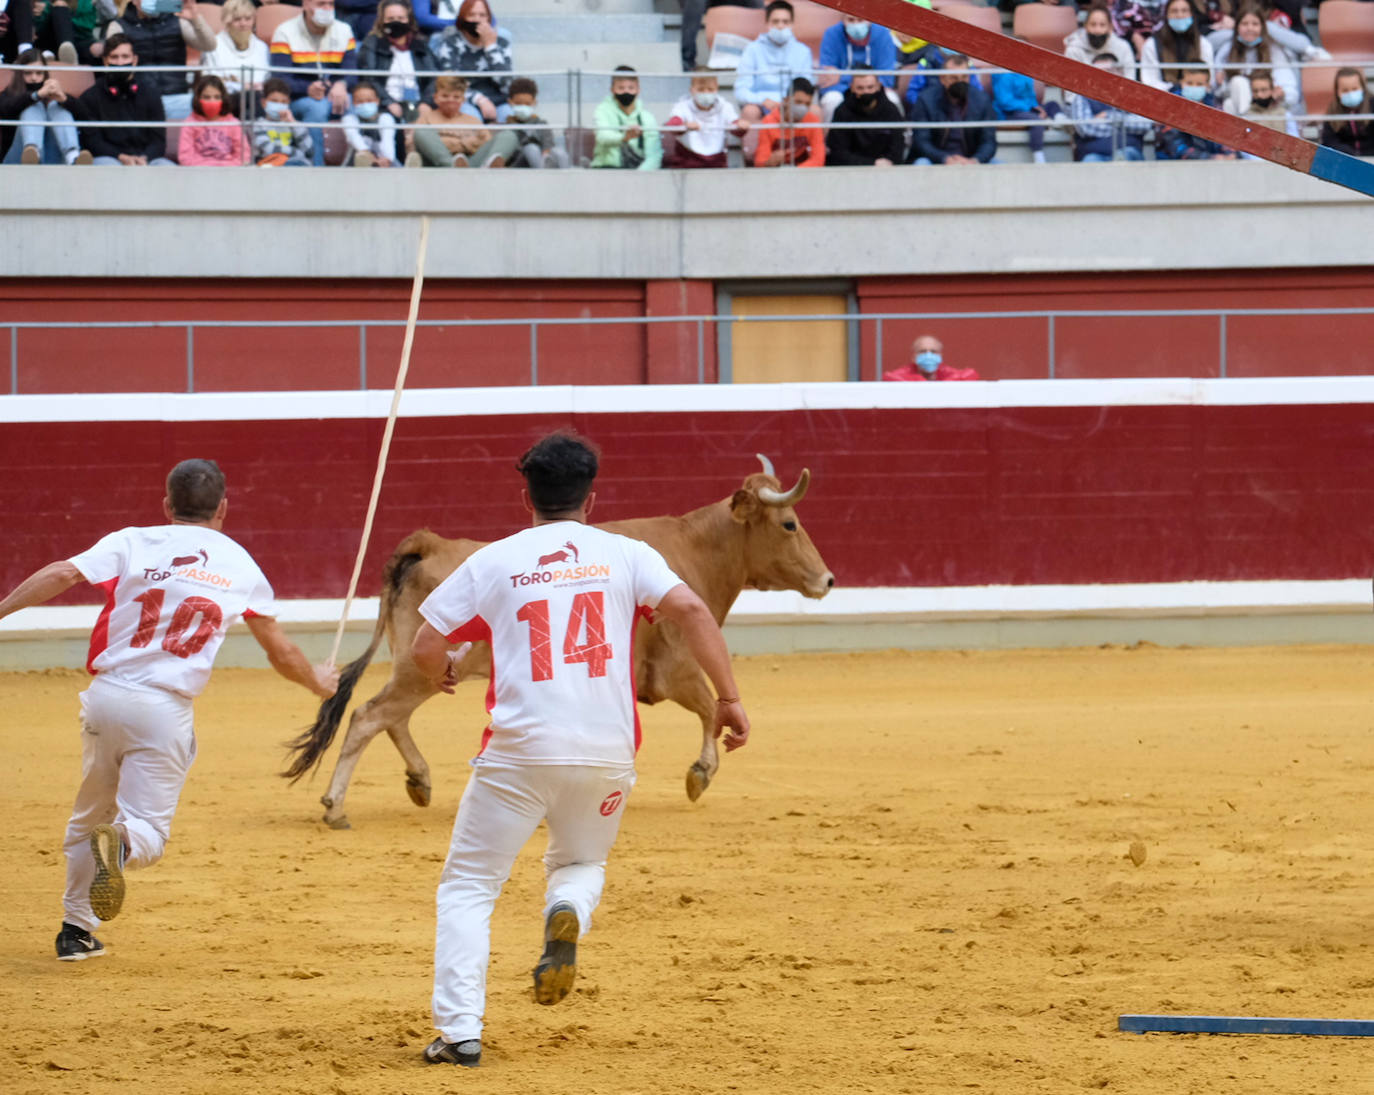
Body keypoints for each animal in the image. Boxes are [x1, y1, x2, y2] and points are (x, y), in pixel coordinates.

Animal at [284, 456, 829, 829]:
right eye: (789, 524)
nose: (827, 580)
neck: (695, 552)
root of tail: (428, 543)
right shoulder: (676, 669)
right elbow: (714, 707)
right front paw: (700, 773)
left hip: (420, 664)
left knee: (389, 717)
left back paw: (419, 781)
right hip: (420, 668)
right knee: (369, 715)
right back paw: (335, 806)